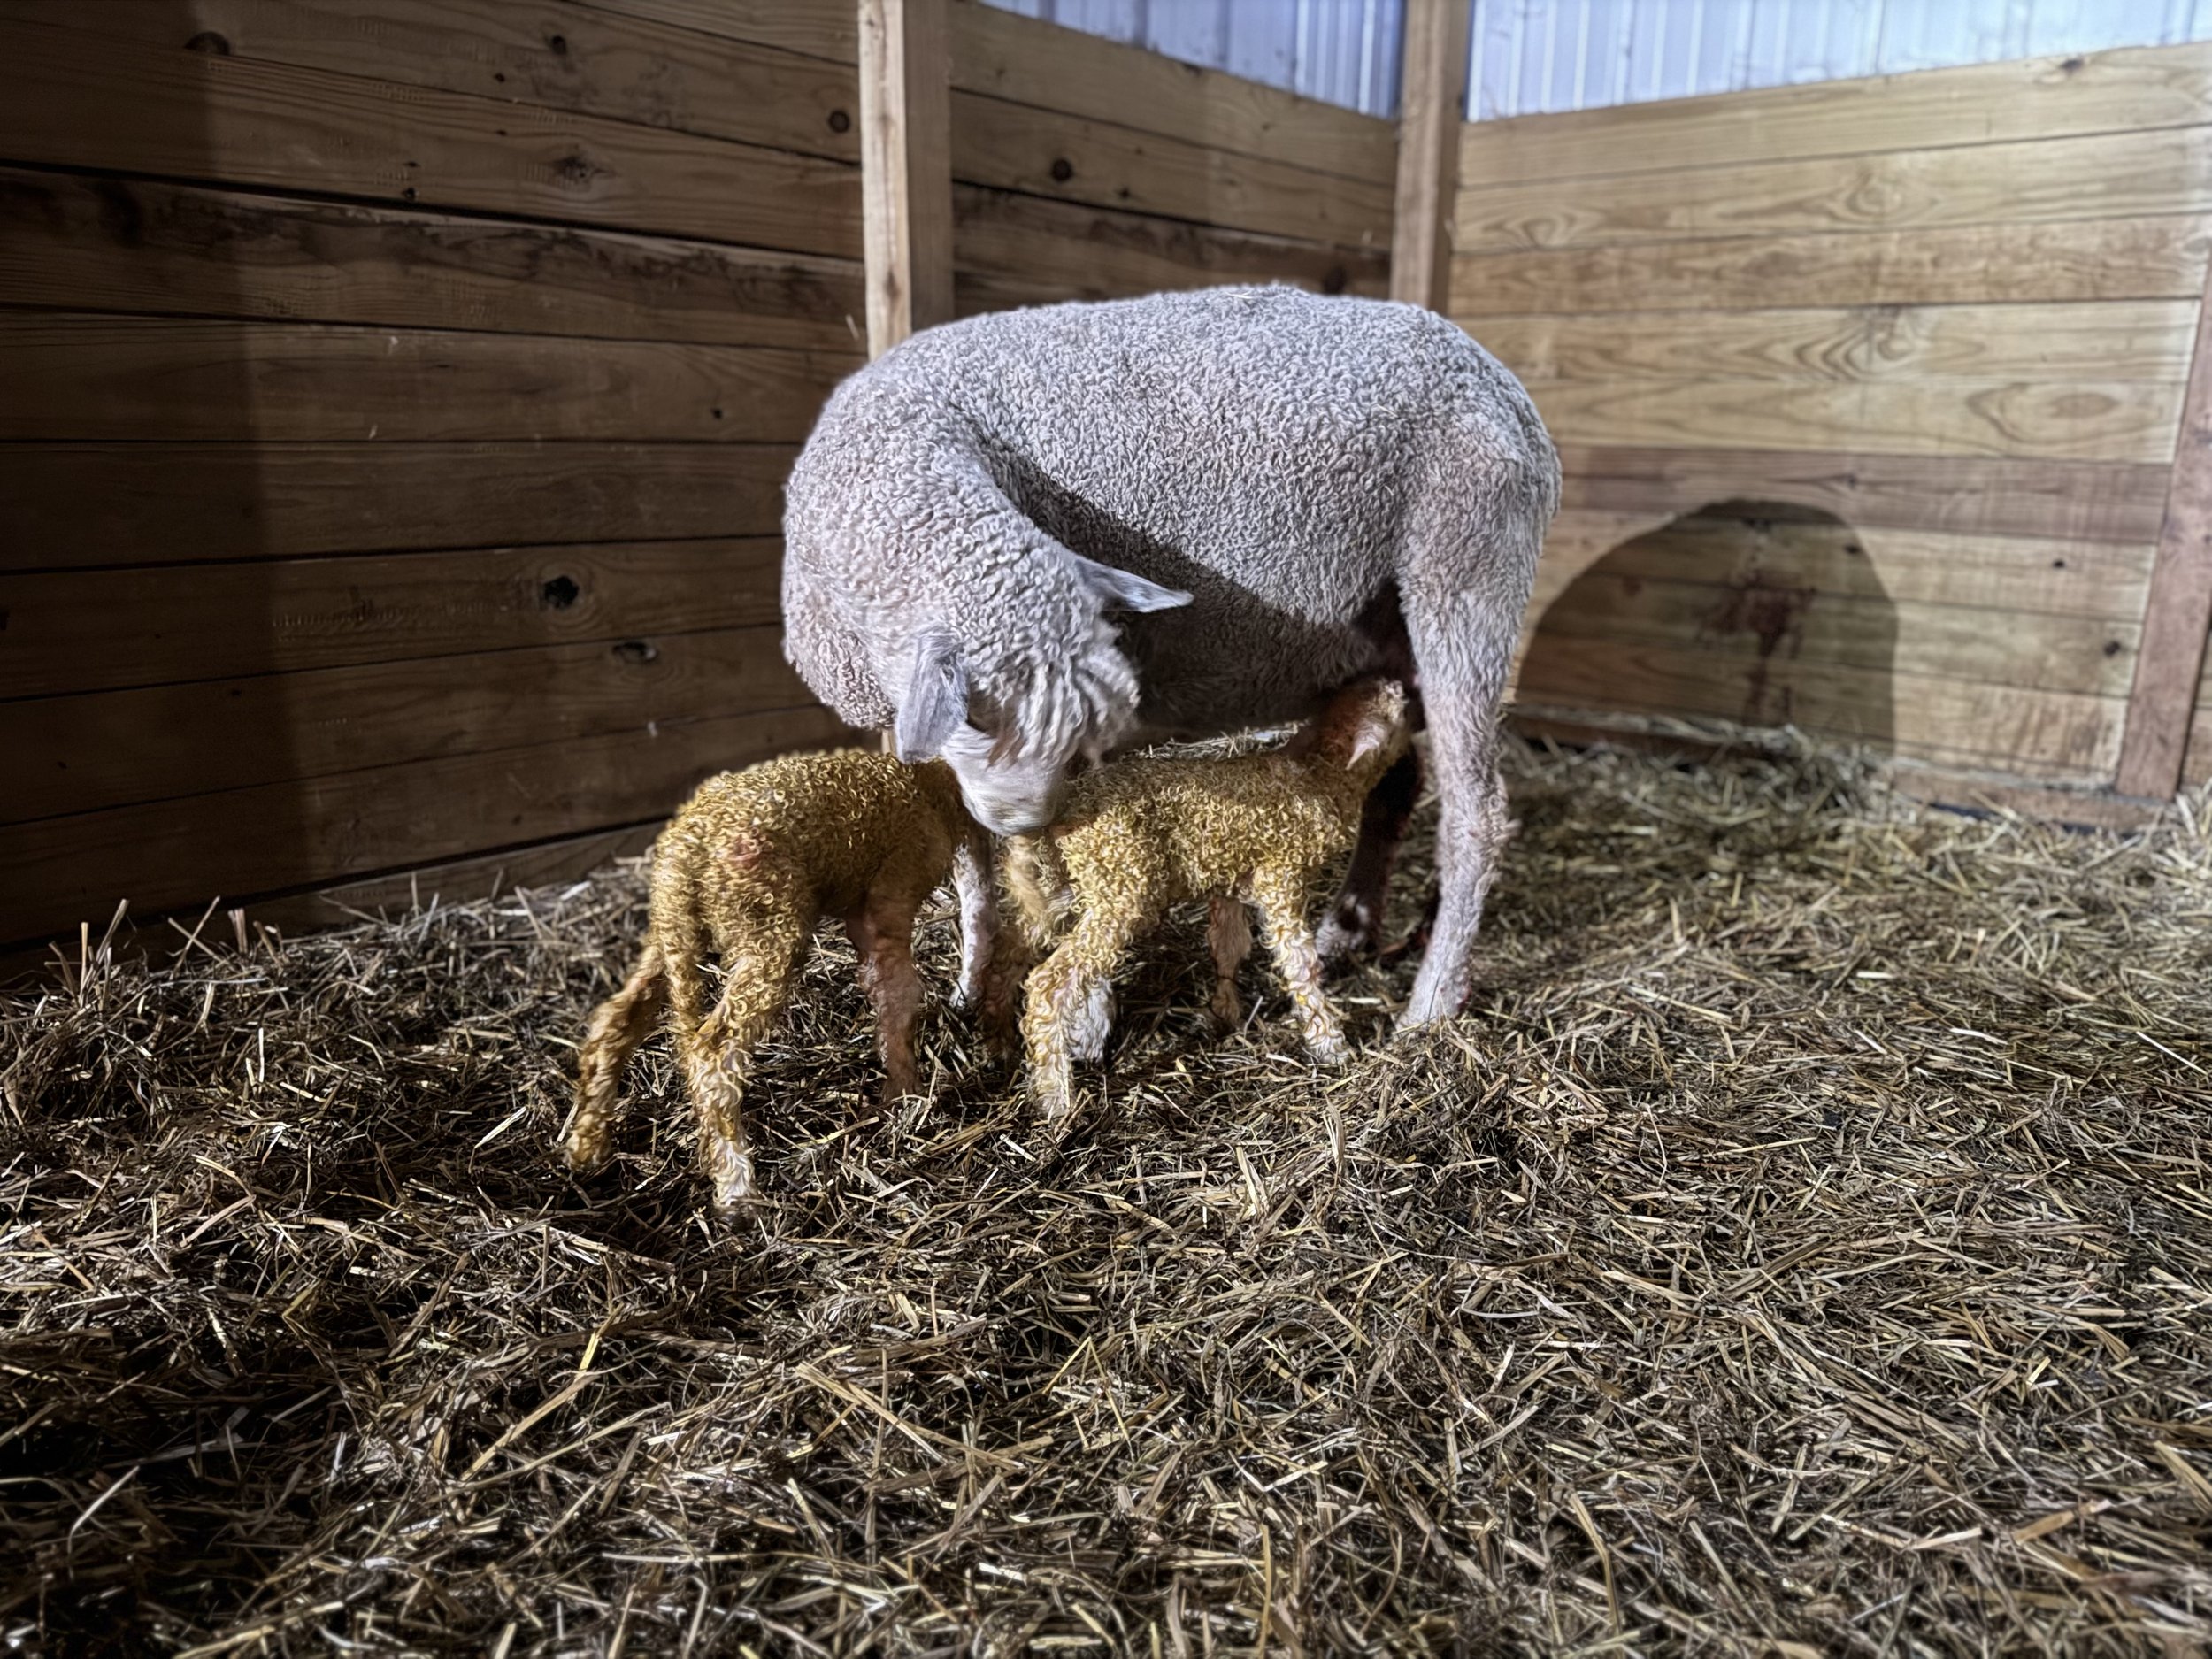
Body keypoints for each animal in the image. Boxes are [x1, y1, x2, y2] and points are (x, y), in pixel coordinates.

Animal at [562, 749, 995, 1213]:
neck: (934, 787)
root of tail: (685, 851)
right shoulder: (890, 893)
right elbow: (897, 993)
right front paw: (905, 1095)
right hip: (767, 928)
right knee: (714, 1052)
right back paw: (737, 1191)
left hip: (672, 935)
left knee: (616, 1022)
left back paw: (587, 1148)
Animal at [781, 285, 1558, 1035]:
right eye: (976, 715)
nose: (1028, 823)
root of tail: (1508, 391)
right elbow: (966, 856)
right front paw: (972, 977)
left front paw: (1082, 1004)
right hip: (1390, 634)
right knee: (1396, 784)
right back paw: (1347, 929)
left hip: (1465, 574)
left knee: (1475, 815)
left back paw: (1430, 1004)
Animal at [1002, 677, 1416, 1126]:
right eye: (1397, 710)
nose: (1401, 685)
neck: (1321, 774)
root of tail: (1064, 813)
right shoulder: (1281, 875)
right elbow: (1300, 963)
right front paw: (1329, 1042)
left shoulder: (1228, 880)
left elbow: (1229, 944)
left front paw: (1225, 1012)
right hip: (1121, 888)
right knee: (1049, 983)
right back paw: (1055, 1096)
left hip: (1067, 891)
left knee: (1015, 954)